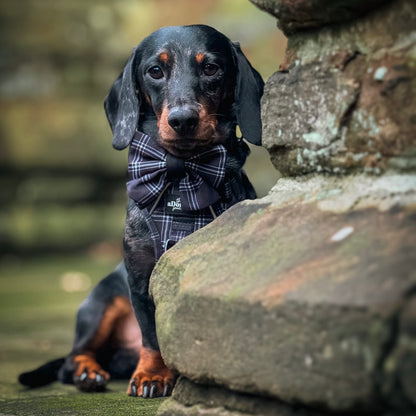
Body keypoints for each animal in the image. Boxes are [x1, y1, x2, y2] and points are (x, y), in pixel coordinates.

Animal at [18, 24, 264, 398]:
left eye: (211, 68)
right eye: (155, 71)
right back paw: (88, 373)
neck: (183, 175)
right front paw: (152, 375)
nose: (183, 120)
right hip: (102, 301)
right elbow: (152, 335)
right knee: (71, 360)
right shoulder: (138, 277)